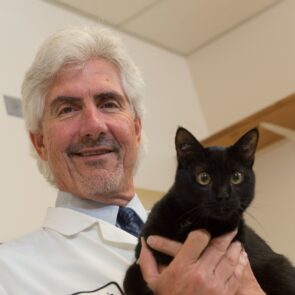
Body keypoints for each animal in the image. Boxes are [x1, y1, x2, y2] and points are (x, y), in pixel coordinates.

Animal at [123, 127, 295, 295]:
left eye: (236, 177)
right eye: (204, 178)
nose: (223, 195)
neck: (192, 224)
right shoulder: (144, 248)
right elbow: (129, 277)